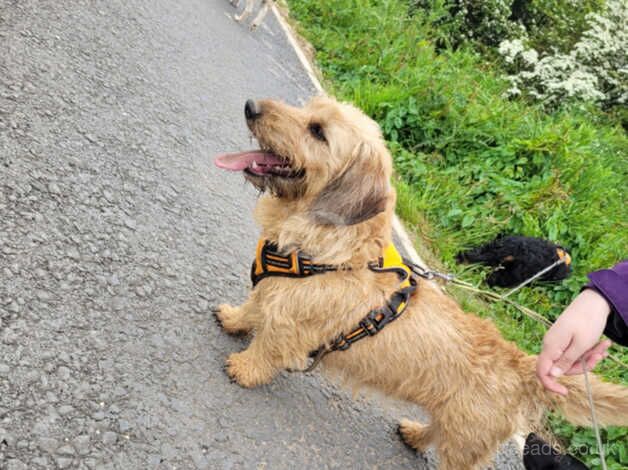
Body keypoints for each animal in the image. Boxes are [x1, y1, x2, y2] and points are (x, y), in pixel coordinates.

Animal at [215, 97, 628, 468]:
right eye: (307, 109)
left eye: (318, 131)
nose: (251, 106)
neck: (333, 252)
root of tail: (523, 368)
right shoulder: (270, 291)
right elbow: (252, 308)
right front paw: (233, 319)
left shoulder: (288, 325)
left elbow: (267, 349)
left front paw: (244, 368)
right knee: (435, 430)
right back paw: (414, 434)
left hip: (465, 442)